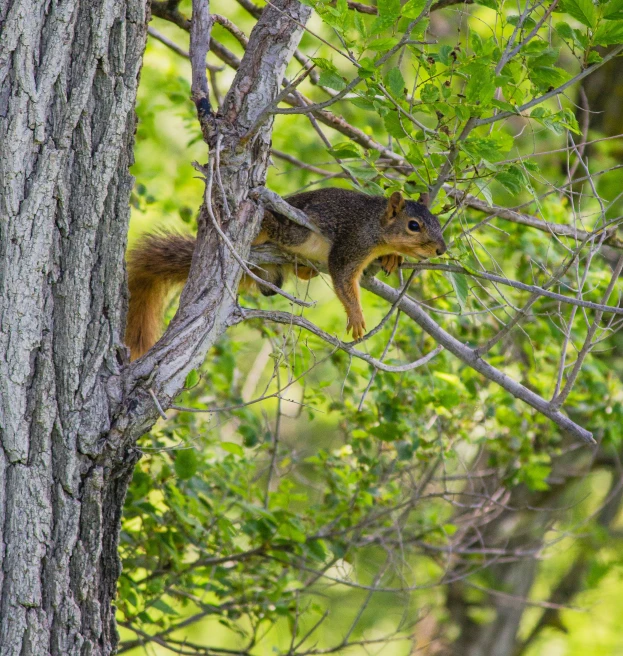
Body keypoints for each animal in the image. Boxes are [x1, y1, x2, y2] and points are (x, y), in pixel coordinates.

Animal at [127, 187, 446, 362]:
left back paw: (305, 269)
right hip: (291, 231)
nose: (442, 249)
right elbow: (344, 279)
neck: (375, 223)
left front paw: (393, 257)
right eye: (414, 225)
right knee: (273, 227)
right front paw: (356, 317)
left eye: (438, 222)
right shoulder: (352, 245)